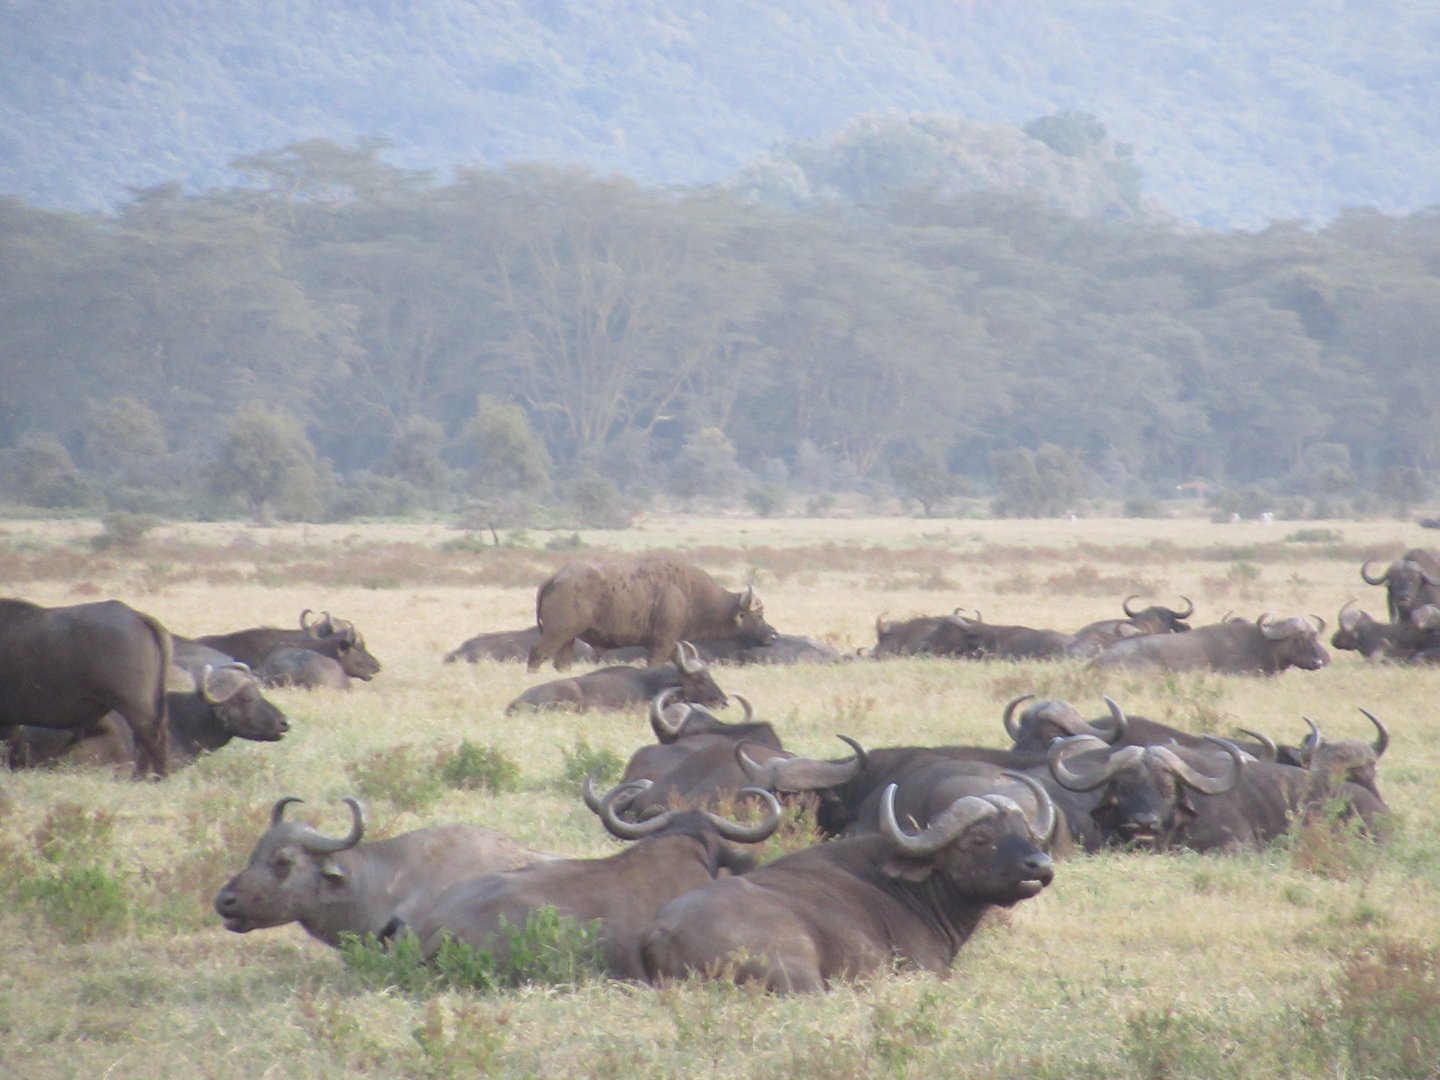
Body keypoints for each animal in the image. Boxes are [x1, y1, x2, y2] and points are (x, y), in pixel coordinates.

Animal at [527, 556, 775, 671]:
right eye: (759, 615)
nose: (773, 635)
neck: (688, 593)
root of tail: (554, 579)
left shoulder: (673, 644)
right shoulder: (661, 644)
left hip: (567, 640)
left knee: (561, 663)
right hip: (556, 634)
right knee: (537, 653)